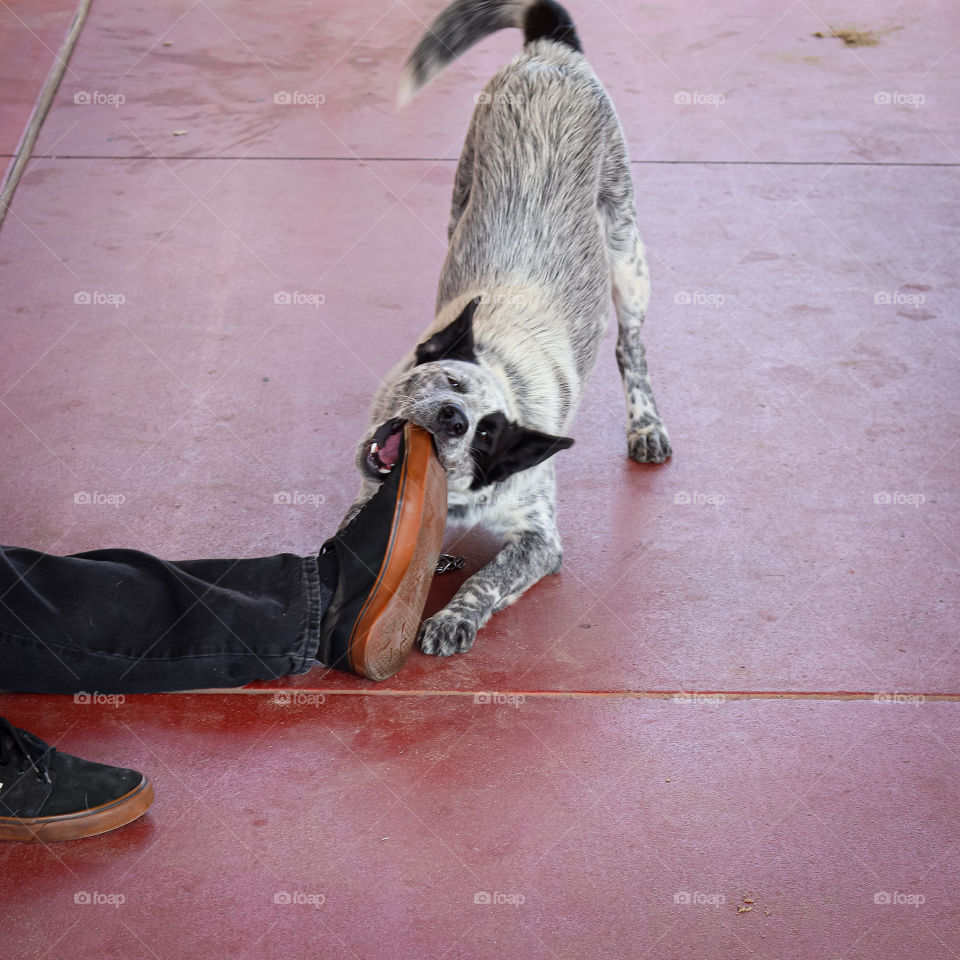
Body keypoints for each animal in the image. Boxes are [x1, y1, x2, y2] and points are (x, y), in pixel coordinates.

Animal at [348, 0, 672, 656]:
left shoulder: (539, 540)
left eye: (486, 436)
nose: (452, 418)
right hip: (460, 199)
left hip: (627, 255)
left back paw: (647, 424)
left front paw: (452, 617)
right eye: (448, 381)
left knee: (632, 348)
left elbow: (488, 579)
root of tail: (551, 51)